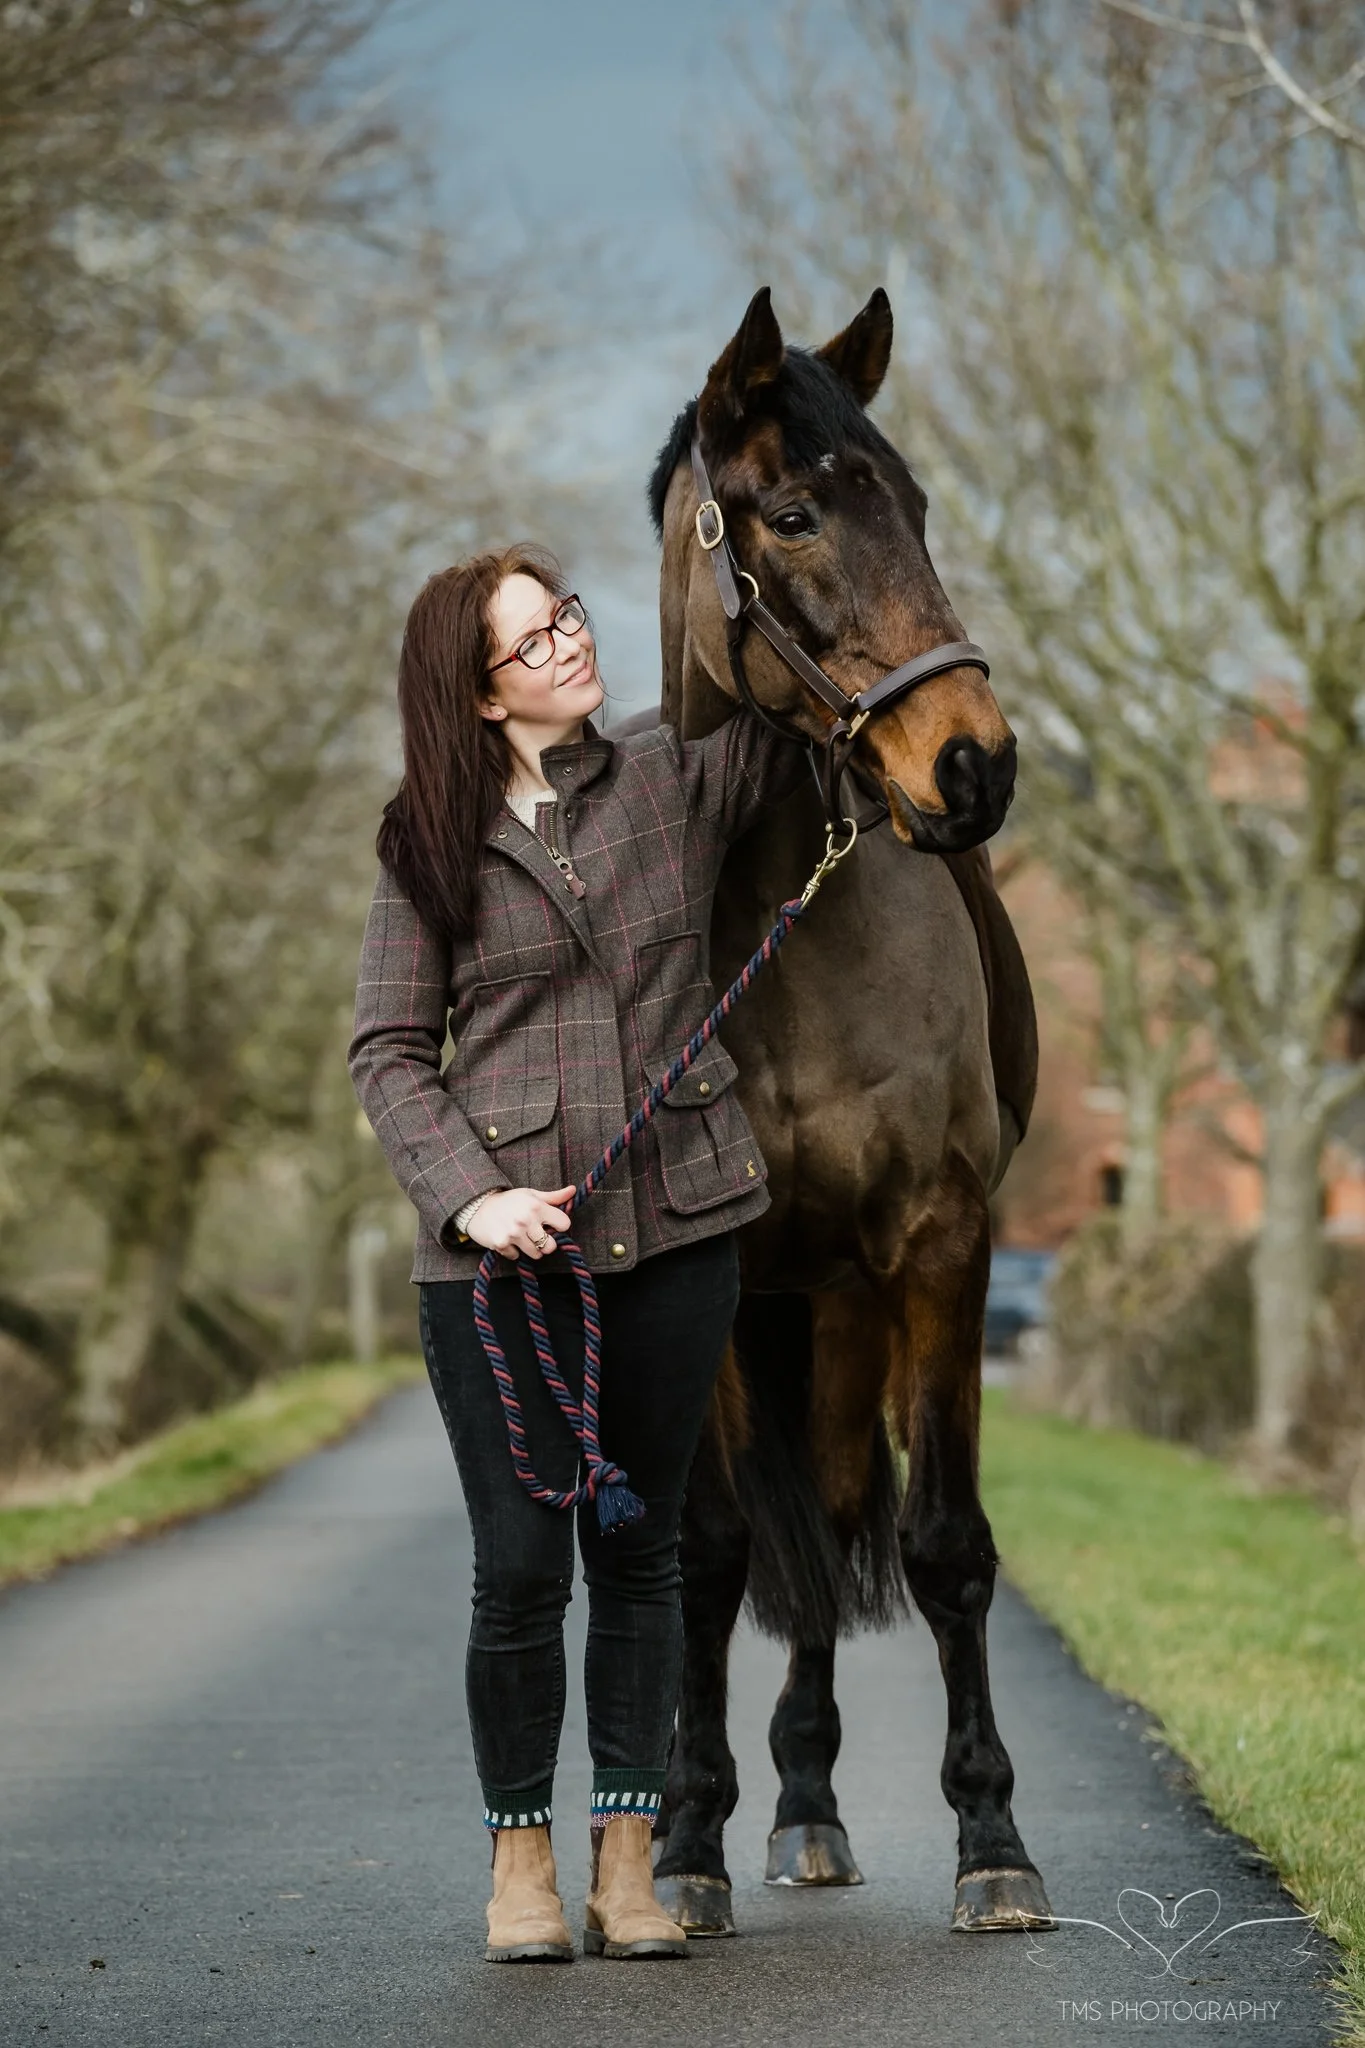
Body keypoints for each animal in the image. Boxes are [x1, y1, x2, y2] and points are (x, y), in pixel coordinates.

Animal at [626, 286, 1052, 1938]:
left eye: (916, 506)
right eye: (795, 513)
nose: (972, 766)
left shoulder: (936, 1249)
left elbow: (944, 1547)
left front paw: (992, 1843)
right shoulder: (705, 1277)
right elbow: (709, 1553)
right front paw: (681, 1846)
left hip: (842, 1302)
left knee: (839, 1521)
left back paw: (811, 1809)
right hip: (775, 1306)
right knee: (781, 1543)